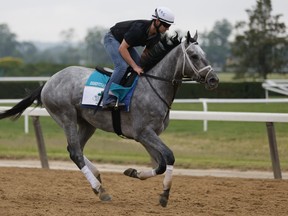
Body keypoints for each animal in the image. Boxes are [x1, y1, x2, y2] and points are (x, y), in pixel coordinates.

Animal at [0, 31, 218, 207]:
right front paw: (164, 195)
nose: (214, 79)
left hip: (87, 123)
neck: (153, 86)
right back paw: (100, 190)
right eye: (194, 55)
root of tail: (47, 83)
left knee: (74, 150)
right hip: (66, 117)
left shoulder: (148, 135)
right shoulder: (143, 132)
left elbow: (161, 163)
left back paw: (97, 177)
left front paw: (134, 172)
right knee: (75, 153)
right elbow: (169, 157)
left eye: (205, 54)